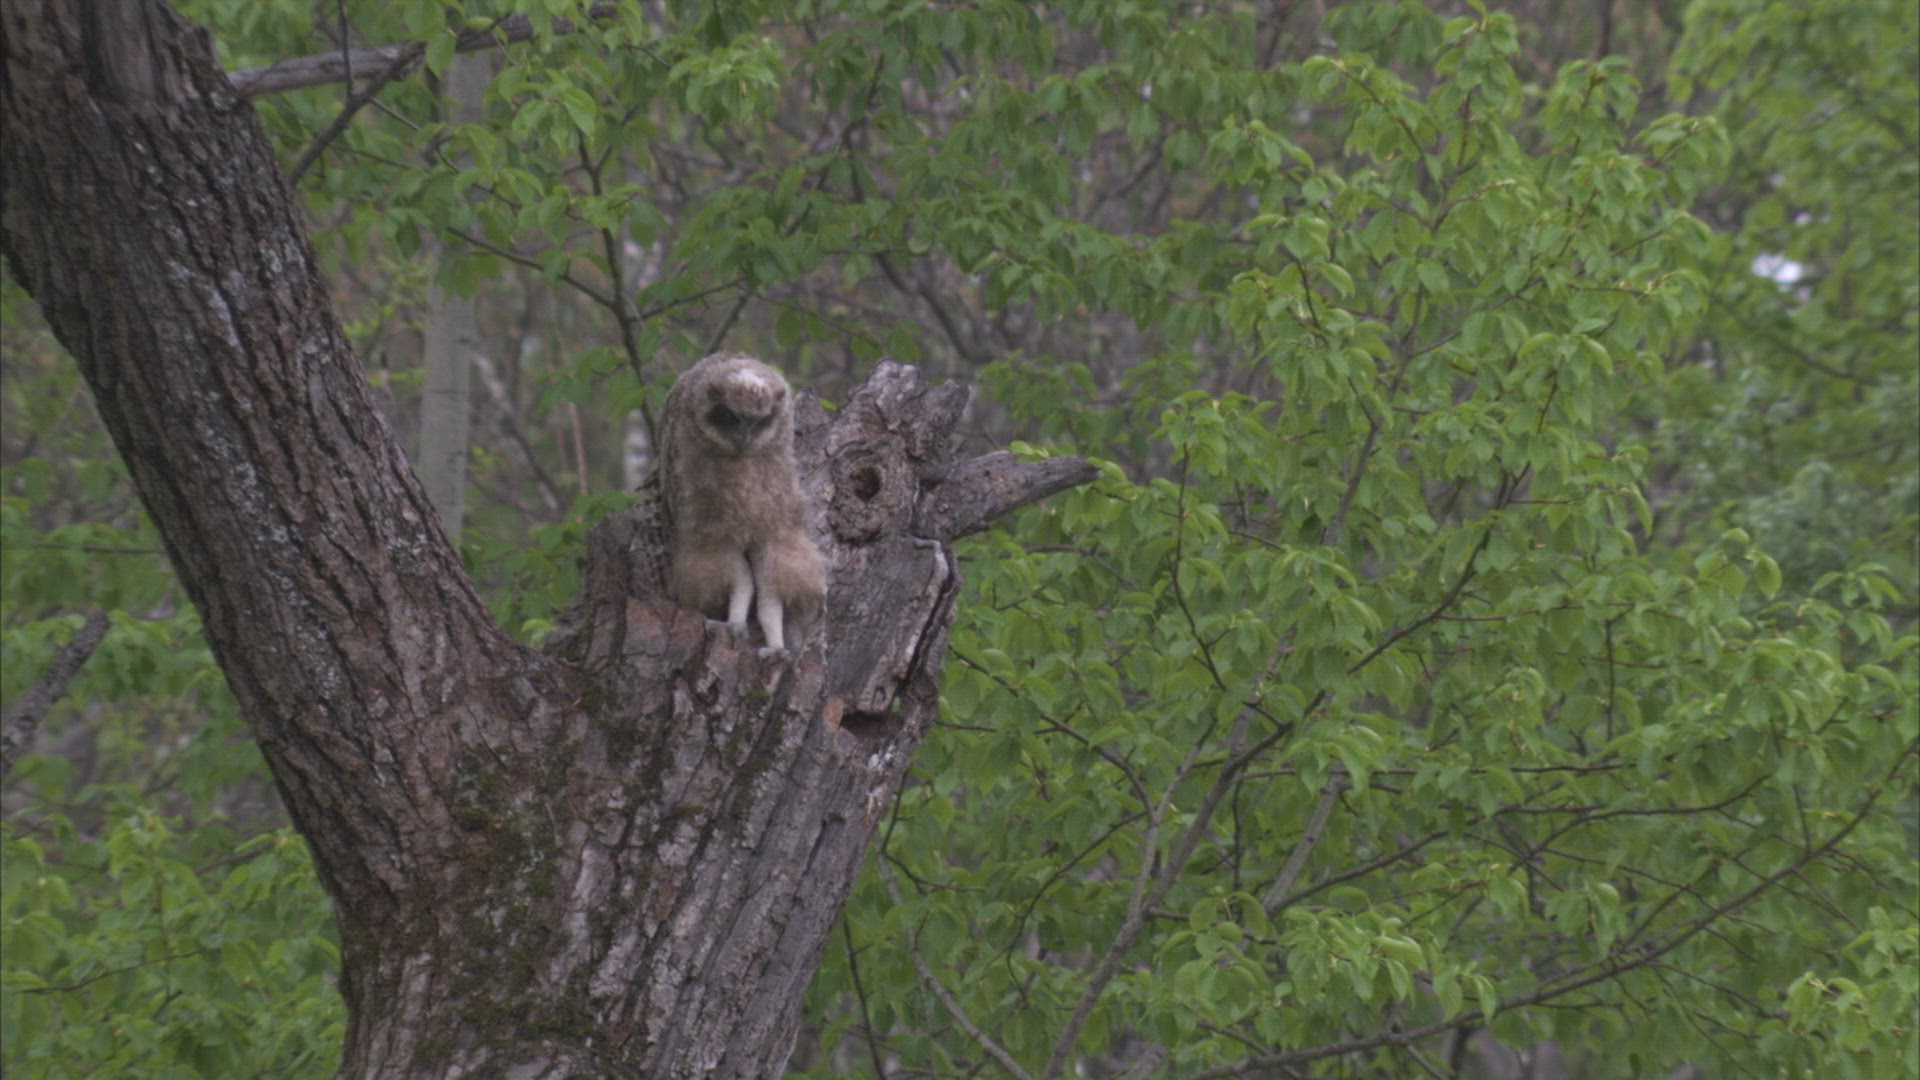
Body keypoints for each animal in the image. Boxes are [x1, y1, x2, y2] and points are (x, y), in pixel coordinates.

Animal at [659, 351, 826, 656]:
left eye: (760, 422)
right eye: (729, 417)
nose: (744, 437)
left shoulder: (778, 519)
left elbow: (772, 580)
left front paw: (775, 638)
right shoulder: (710, 527)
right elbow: (739, 575)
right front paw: (736, 621)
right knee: (740, 573)